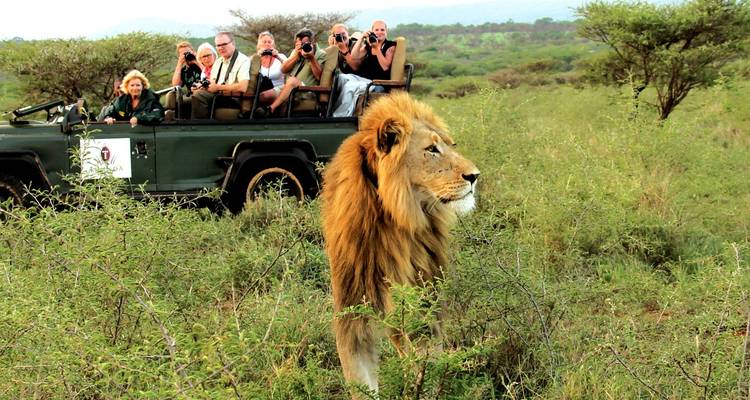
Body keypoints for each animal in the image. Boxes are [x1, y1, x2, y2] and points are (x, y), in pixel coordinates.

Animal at [321, 92, 480, 395]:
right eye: (431, 149)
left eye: (449, 145)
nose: (475, 176)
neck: (393, 220)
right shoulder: (351, 310)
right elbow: (360, 381)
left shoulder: (426, 305)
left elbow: (424, 371)